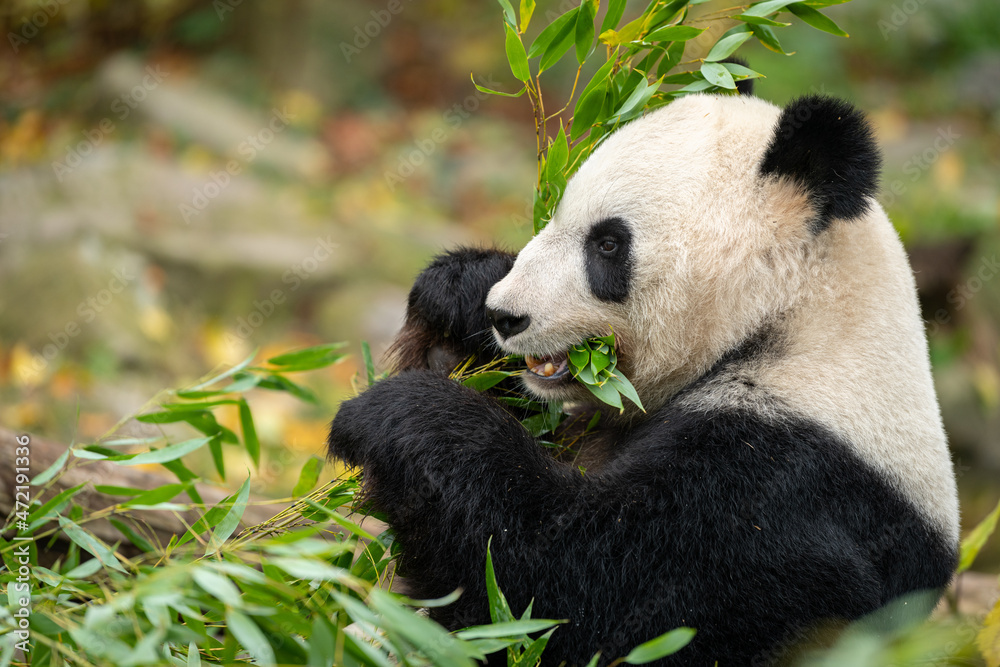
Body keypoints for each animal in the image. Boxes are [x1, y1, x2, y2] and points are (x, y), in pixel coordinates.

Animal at [327, 90, 960, 666]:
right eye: (556, 216)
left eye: (608, 243)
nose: (506, 316)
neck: (795, 318)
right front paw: (458, 294)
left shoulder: (792, 480)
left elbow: (577, 593)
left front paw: (394, 414)